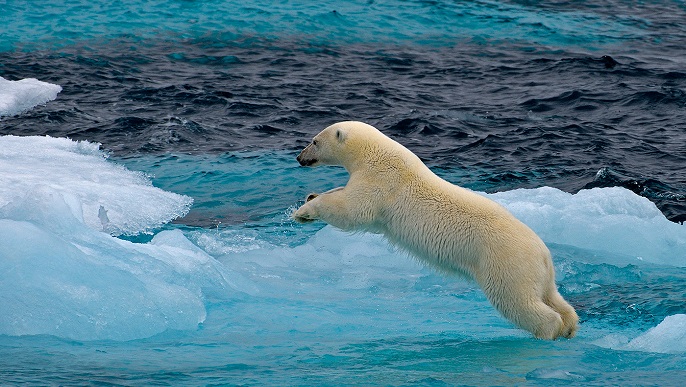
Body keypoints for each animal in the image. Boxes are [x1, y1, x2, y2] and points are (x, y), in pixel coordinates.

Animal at [292, 120, 580, 340]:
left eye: (314, 141)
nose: (299, 157)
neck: (376, 154)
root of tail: (543, 253)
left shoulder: (382, 183)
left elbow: (352, 210)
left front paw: (303, 211)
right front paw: (312, 196)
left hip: (505, 262)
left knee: (518, 301)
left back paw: (548, 331)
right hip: (538, 271)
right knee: (552, 296)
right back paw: (569, 326)